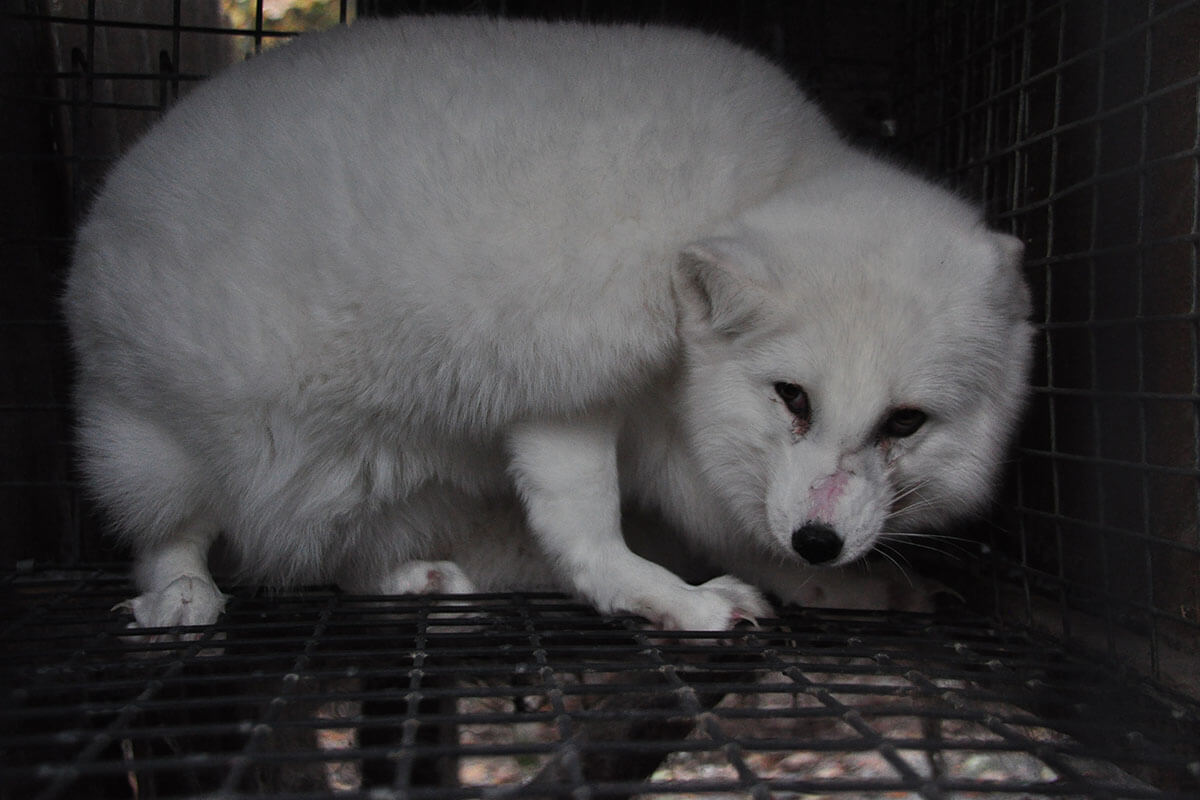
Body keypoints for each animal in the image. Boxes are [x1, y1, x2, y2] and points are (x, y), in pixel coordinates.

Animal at [63, 17, 1032, 633]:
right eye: (791, 397)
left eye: (905, 422)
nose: (821, 542)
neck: (766, 185)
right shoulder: (568, 382)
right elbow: (585, 530)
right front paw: (674, 601)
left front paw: (841, 587)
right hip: (154, 439)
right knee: (167, 536)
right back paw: (181, 597)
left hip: (381, 489)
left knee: (336, 560)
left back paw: (408, 580)